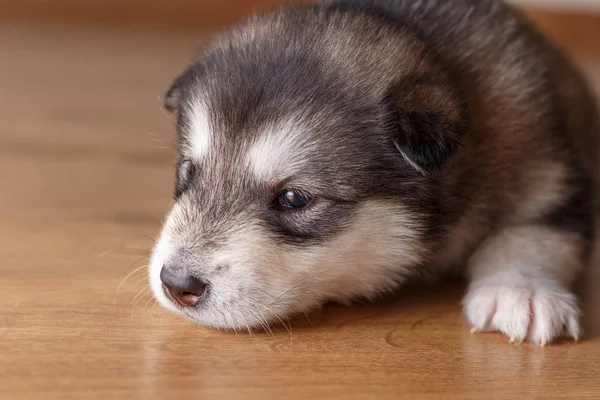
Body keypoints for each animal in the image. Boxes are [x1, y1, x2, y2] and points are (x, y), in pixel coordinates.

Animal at [148, 0, 596, 344]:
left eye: (294, 198)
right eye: (188, 171)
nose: (177, 284)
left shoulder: (550, 172)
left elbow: (533, 233)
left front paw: (521, 290)